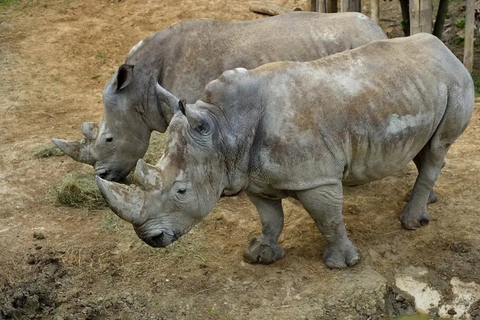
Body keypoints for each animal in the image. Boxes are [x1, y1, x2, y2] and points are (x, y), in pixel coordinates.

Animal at [96, 34, 472, 270]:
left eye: (182, 191)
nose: (150, 238)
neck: (224, 128)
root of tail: (447, 50)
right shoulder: (249, 173)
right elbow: (270, 217)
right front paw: (260, 256)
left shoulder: (317, 178)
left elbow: (328, 218)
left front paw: (342, 264)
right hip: (419, 87)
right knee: (428, 148)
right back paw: (427, 202)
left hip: (456, 83)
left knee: (437, 148)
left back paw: (411, 222)